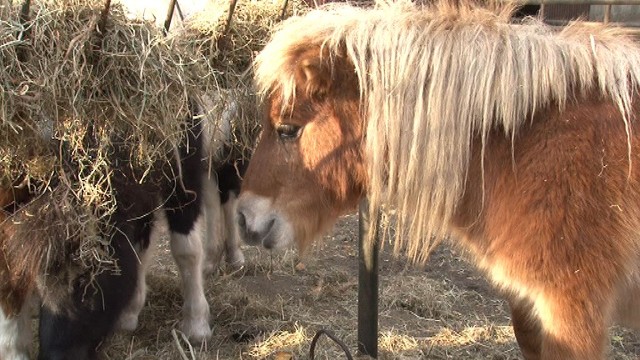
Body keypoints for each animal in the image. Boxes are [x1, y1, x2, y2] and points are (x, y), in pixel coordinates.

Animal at [0, 94, 246, 358]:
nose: (55, 355)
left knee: (228, 193)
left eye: (83, 274)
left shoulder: (183, 174)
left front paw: (196, 325)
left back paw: (234, 256)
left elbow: (186, 250)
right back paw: (211, 259)